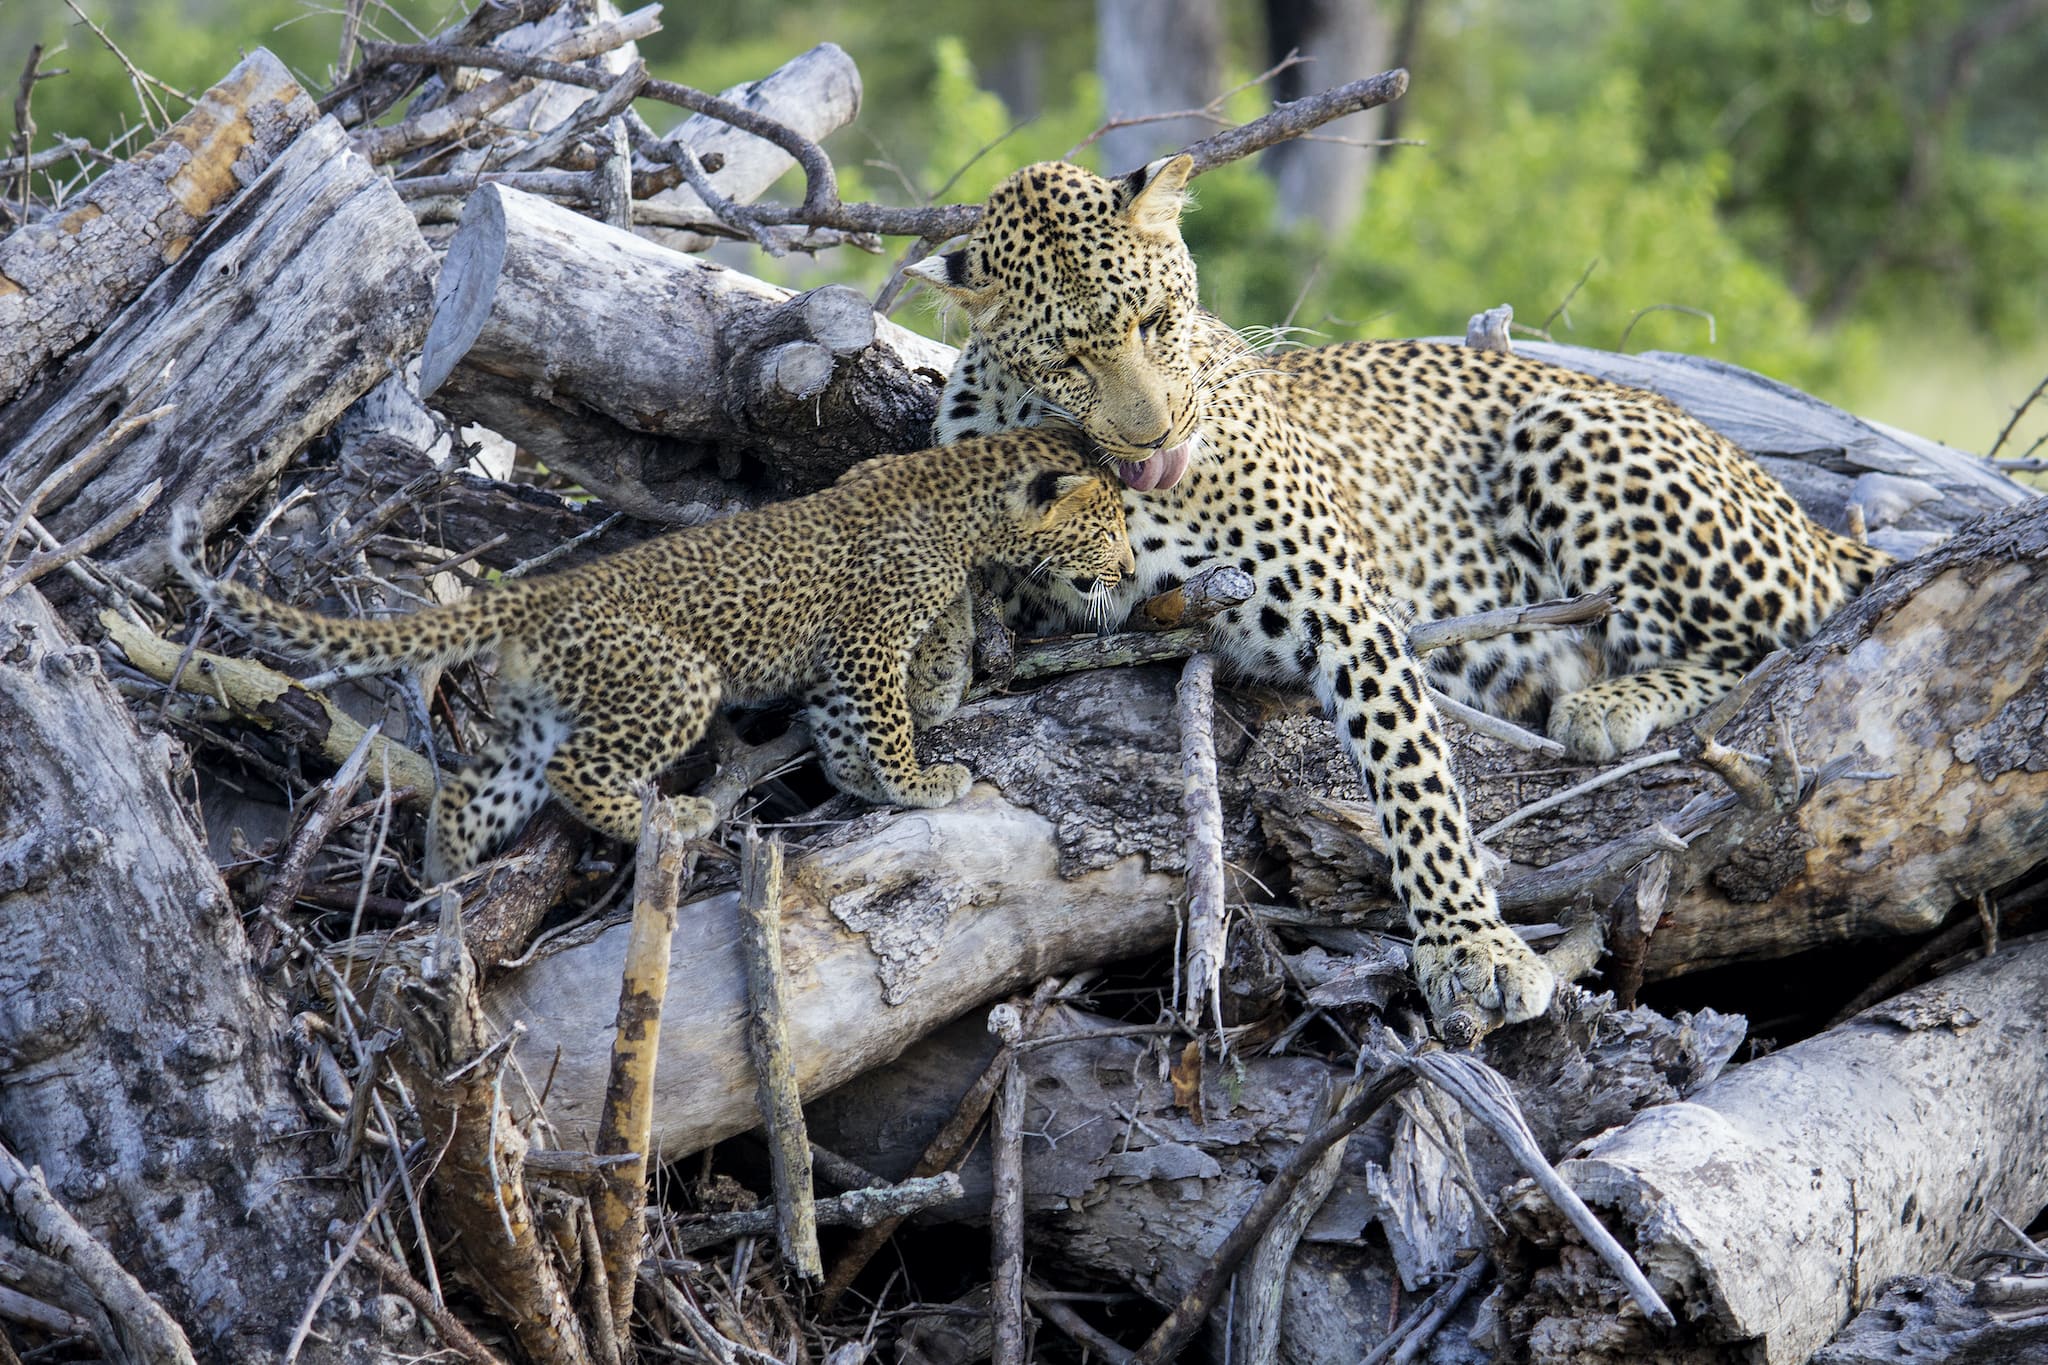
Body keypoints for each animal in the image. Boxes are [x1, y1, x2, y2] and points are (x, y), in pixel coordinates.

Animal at [905, 157, 1892, 1035]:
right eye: (1067, 357)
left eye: (1156, 319)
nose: (1156, 434)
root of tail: (1795, 507)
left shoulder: (1346, 609)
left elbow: (1413, 775)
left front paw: (1472, 944)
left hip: (1570, 433)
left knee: (1780, 640)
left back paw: (1611, 704)